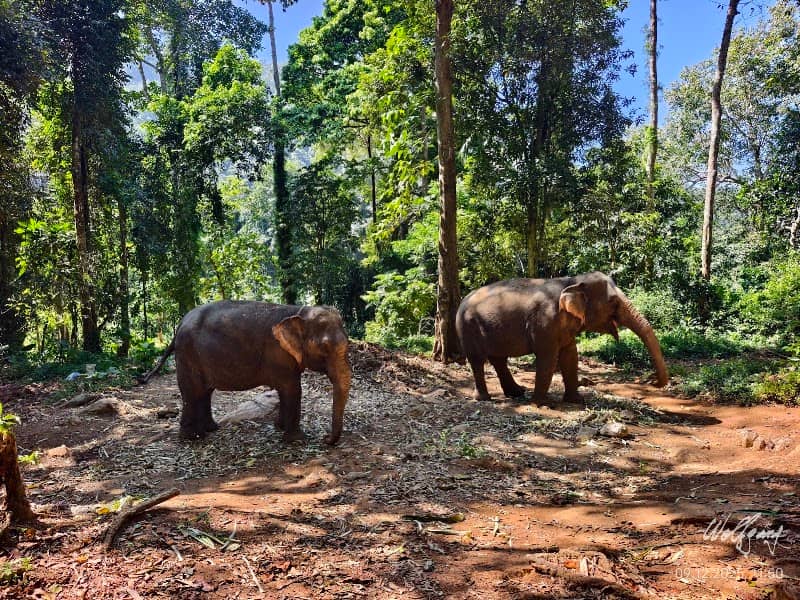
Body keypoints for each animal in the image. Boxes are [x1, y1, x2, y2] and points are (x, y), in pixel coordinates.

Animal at [140, 301, 351, 444]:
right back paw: (191, 438)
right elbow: (293, 390)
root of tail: (180, 324)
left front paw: (280, 427)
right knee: (192, 393)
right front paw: (297, 439)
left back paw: (210, 430)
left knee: (204, 392)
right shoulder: (278, 355)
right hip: (187, 354)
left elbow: (286, 391)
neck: (299, 312)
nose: (325, 438)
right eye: (324, 348)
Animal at [455, 271, 668, 403]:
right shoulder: (544, 322)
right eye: (613, 302)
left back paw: (517, 392)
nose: (651, 380)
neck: (572, 281)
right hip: (468, 328)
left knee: (498, 359)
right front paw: (543, 403)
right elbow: (548, 358)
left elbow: (570, 356)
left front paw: (577, 401)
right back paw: (484, 398)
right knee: (478, 360)